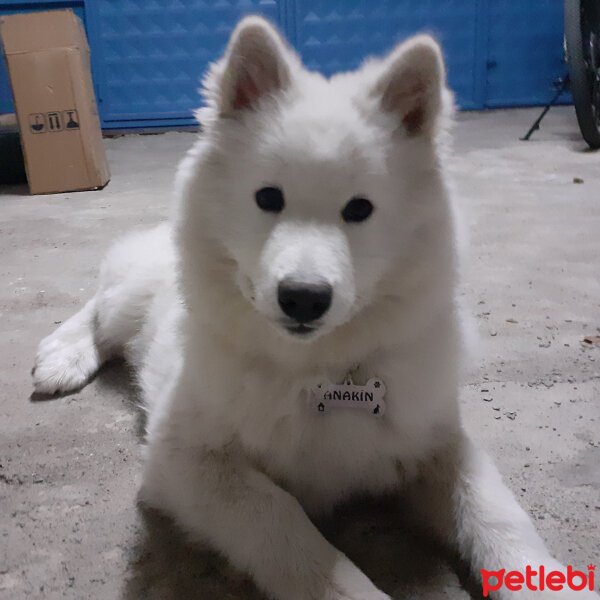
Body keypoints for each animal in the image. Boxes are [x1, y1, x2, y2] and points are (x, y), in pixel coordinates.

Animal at [31, 16, 596, 596]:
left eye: (360, 209)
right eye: (268, 198)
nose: (303, 297)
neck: (321, 369)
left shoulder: (437, 444)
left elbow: (495, 512)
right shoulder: (185, 461)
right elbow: (285, 528)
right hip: (134, 293)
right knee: (100, 304)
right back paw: (61, 356)